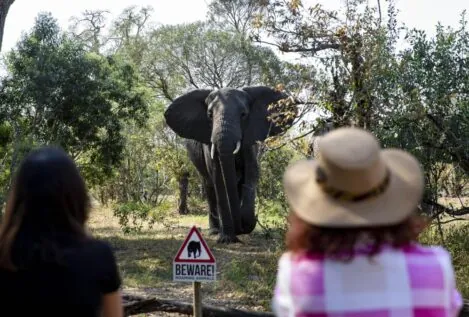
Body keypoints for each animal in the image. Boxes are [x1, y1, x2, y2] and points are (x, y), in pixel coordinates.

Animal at [165, 86, 294, 242]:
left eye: (244, 115)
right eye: (209, 115)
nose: (241, 229)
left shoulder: (251, 139)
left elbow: (252, 172)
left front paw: (244, 223)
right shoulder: (209, 143)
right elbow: (218, 177)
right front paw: (227, 239)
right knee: (209, 186)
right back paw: (215, 230)